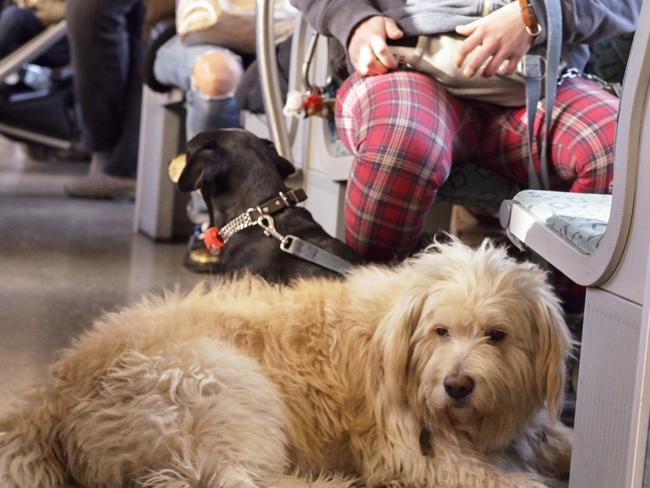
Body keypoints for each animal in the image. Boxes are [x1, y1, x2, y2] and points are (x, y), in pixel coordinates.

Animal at [0, 240, 568, 488]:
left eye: (497, 335)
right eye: (440, 331)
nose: (457, 386)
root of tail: (55, 393)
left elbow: (556, 439)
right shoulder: (412, 452)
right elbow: (507, 482)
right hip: (223, 391)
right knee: (224, 481)